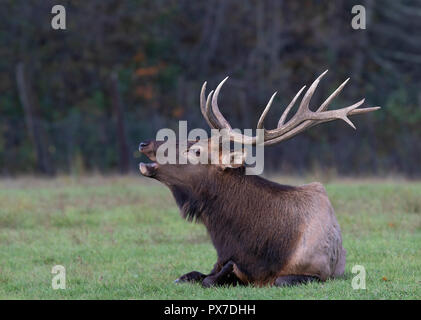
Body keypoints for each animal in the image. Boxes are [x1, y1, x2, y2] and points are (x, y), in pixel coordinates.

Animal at [139, 70, 378, 288]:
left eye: (196, 150)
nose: (145, 143)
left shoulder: (317, 272)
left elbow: (272, 280)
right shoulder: (219, 259)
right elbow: (191, 276)